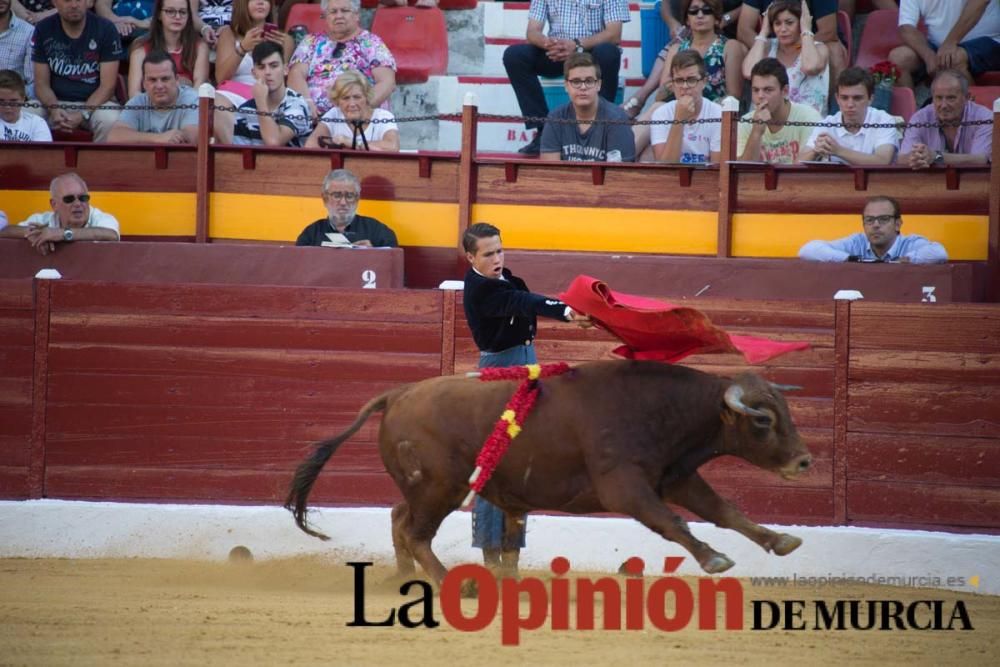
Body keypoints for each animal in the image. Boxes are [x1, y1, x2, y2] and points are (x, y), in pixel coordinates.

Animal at [288, 360, 812, 584]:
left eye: (784, 410)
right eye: (763, 421)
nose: (804, 461)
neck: (661, 410)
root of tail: (397, 393)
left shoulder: (677, 476)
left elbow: (725, 510)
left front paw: (781, 541)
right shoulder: (625, 487)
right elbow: (673, 522)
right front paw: (714, 559)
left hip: (426, 488)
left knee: (399, 519)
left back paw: (402, 578)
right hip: (440, 486)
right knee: (417, 532)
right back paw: (455, 582)